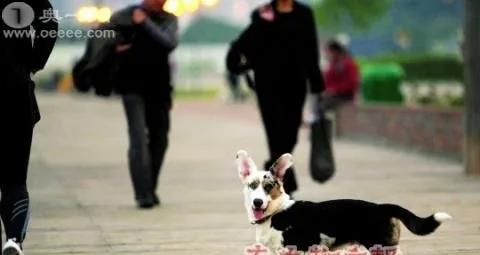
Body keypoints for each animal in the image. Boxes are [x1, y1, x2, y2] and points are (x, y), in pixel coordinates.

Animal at [238, 151, 452, 253]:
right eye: (252, 185)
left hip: (380, 247)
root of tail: (382, 207)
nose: (257, 202)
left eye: (268, 187)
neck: (276, 212)